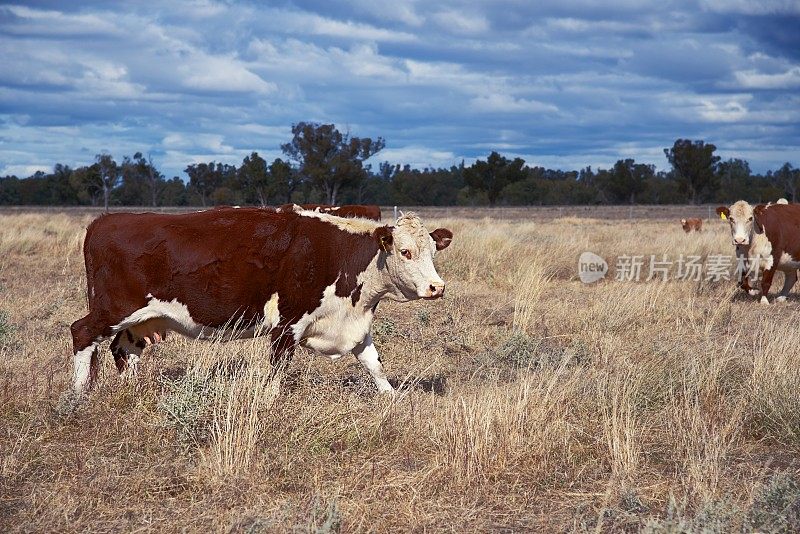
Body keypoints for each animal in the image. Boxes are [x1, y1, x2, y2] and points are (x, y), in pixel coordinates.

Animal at [72, 209, 454, 398]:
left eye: (433, 250)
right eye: (405, 251)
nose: (436, 287)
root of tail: (104, 221)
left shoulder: (352, 324)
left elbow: (374, 364)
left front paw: (393, 398)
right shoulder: (287, 325)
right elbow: (277, 371)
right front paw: (271, 401)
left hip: (140, 320)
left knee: (123, 349)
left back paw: (132, 390)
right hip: (113, 309)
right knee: (82, 333)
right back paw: (77, 396)